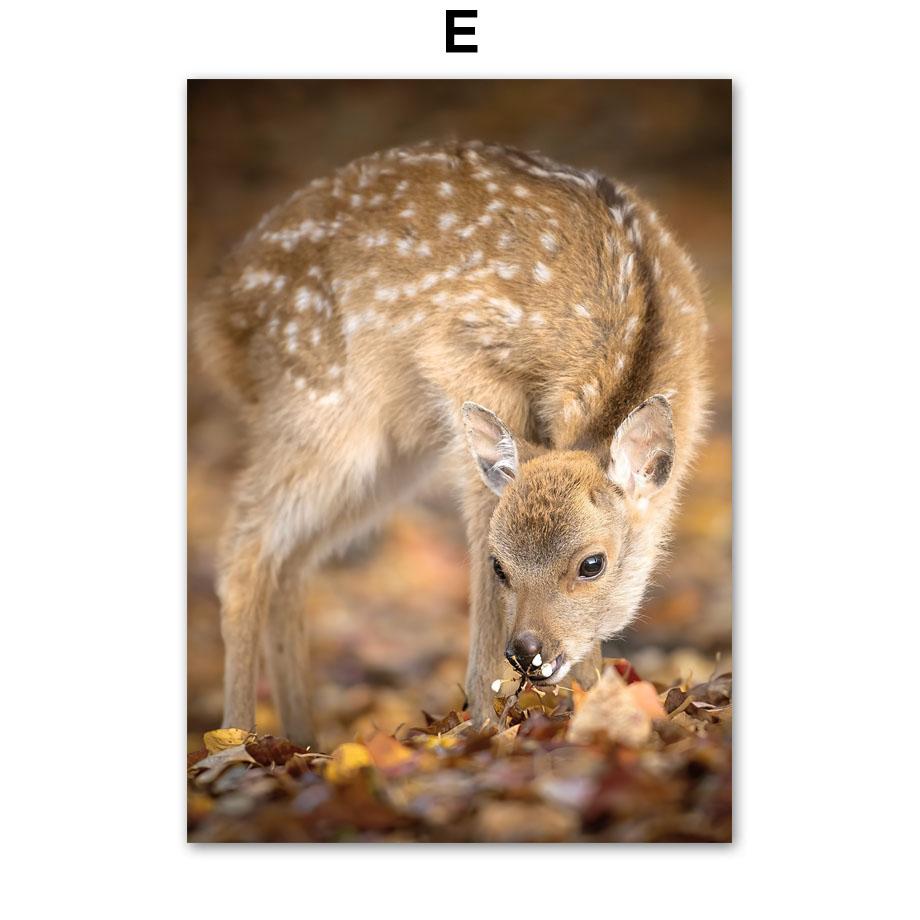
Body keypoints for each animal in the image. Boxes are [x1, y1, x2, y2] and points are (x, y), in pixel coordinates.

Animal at [193, 140, 710, 748]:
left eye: (592, 564)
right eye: (499, 566)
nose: (528, 653)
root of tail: (216, 320)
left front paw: (598, 707)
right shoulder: (457, 361)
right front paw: (487, 726)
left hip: (392, 454)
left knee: (291, 559)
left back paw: (301, 740)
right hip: (322, 407)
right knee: (244, 549)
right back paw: (235, 743)